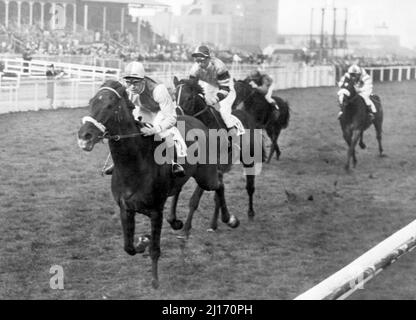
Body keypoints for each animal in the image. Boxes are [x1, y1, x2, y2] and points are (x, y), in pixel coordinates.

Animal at [173, 77, 276, 232]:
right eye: (173, 96)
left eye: (189, 98)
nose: (177, 118)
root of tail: (247, 115)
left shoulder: (210, 167)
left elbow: (195, 198)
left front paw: (186, 228)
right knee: (218, 194)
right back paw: (214, 224)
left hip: (248, 160)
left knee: (250, 187)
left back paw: (250, 213)